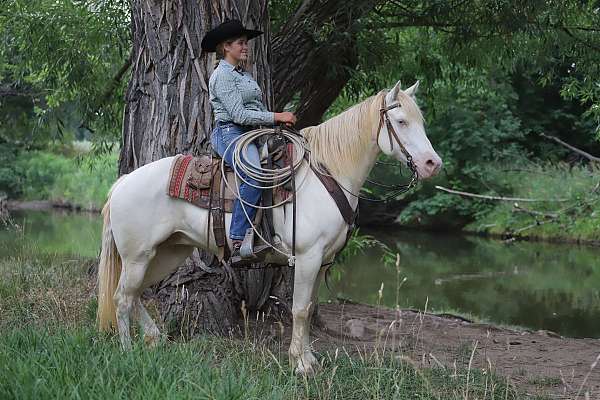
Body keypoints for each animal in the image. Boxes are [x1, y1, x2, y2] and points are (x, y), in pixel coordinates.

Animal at [97, 79, 440, 374]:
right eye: (401, 122)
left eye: (420, 121)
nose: (432, 164)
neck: (326, 173)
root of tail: (122, 183)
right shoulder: (307, 257)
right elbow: (299, 309)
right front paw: (300, 364)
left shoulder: (323, 260)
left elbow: (309, 306)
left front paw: (309, 358)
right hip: (138, 256)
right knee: (122, 298)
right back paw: (127, 351)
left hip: (168, 252)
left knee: (135, 292)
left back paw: (153, 338)